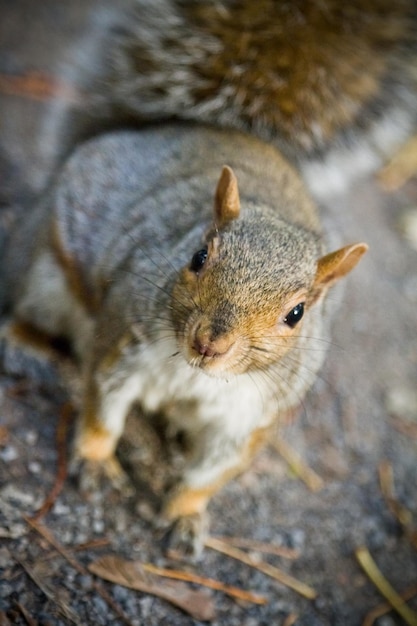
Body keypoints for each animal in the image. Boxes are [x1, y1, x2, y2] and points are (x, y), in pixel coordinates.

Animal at [0, 124, 364, 552]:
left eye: (297, 314)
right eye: (198, 257)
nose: (210, 343)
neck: (196, 375)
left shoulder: (250, 413)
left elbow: (213, 470)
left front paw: (185, 515)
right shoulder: (124, 338)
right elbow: (103, 407)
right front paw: (95, 460)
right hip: (46, 280)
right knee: (26, 310)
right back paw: (26, 346)